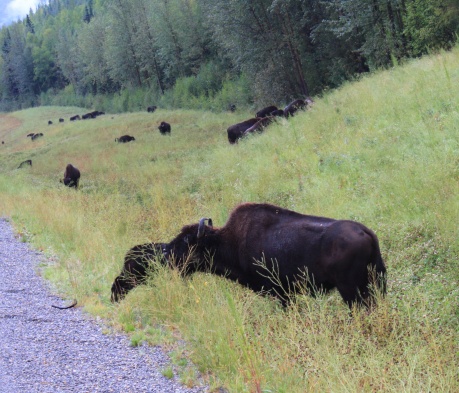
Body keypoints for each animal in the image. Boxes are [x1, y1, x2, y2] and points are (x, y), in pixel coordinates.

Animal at [118, 204, 388, 308]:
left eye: (187, 241)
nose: (166, 255)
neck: (228, 242)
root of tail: (366, 232)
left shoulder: (283, 294)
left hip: (351, 290)